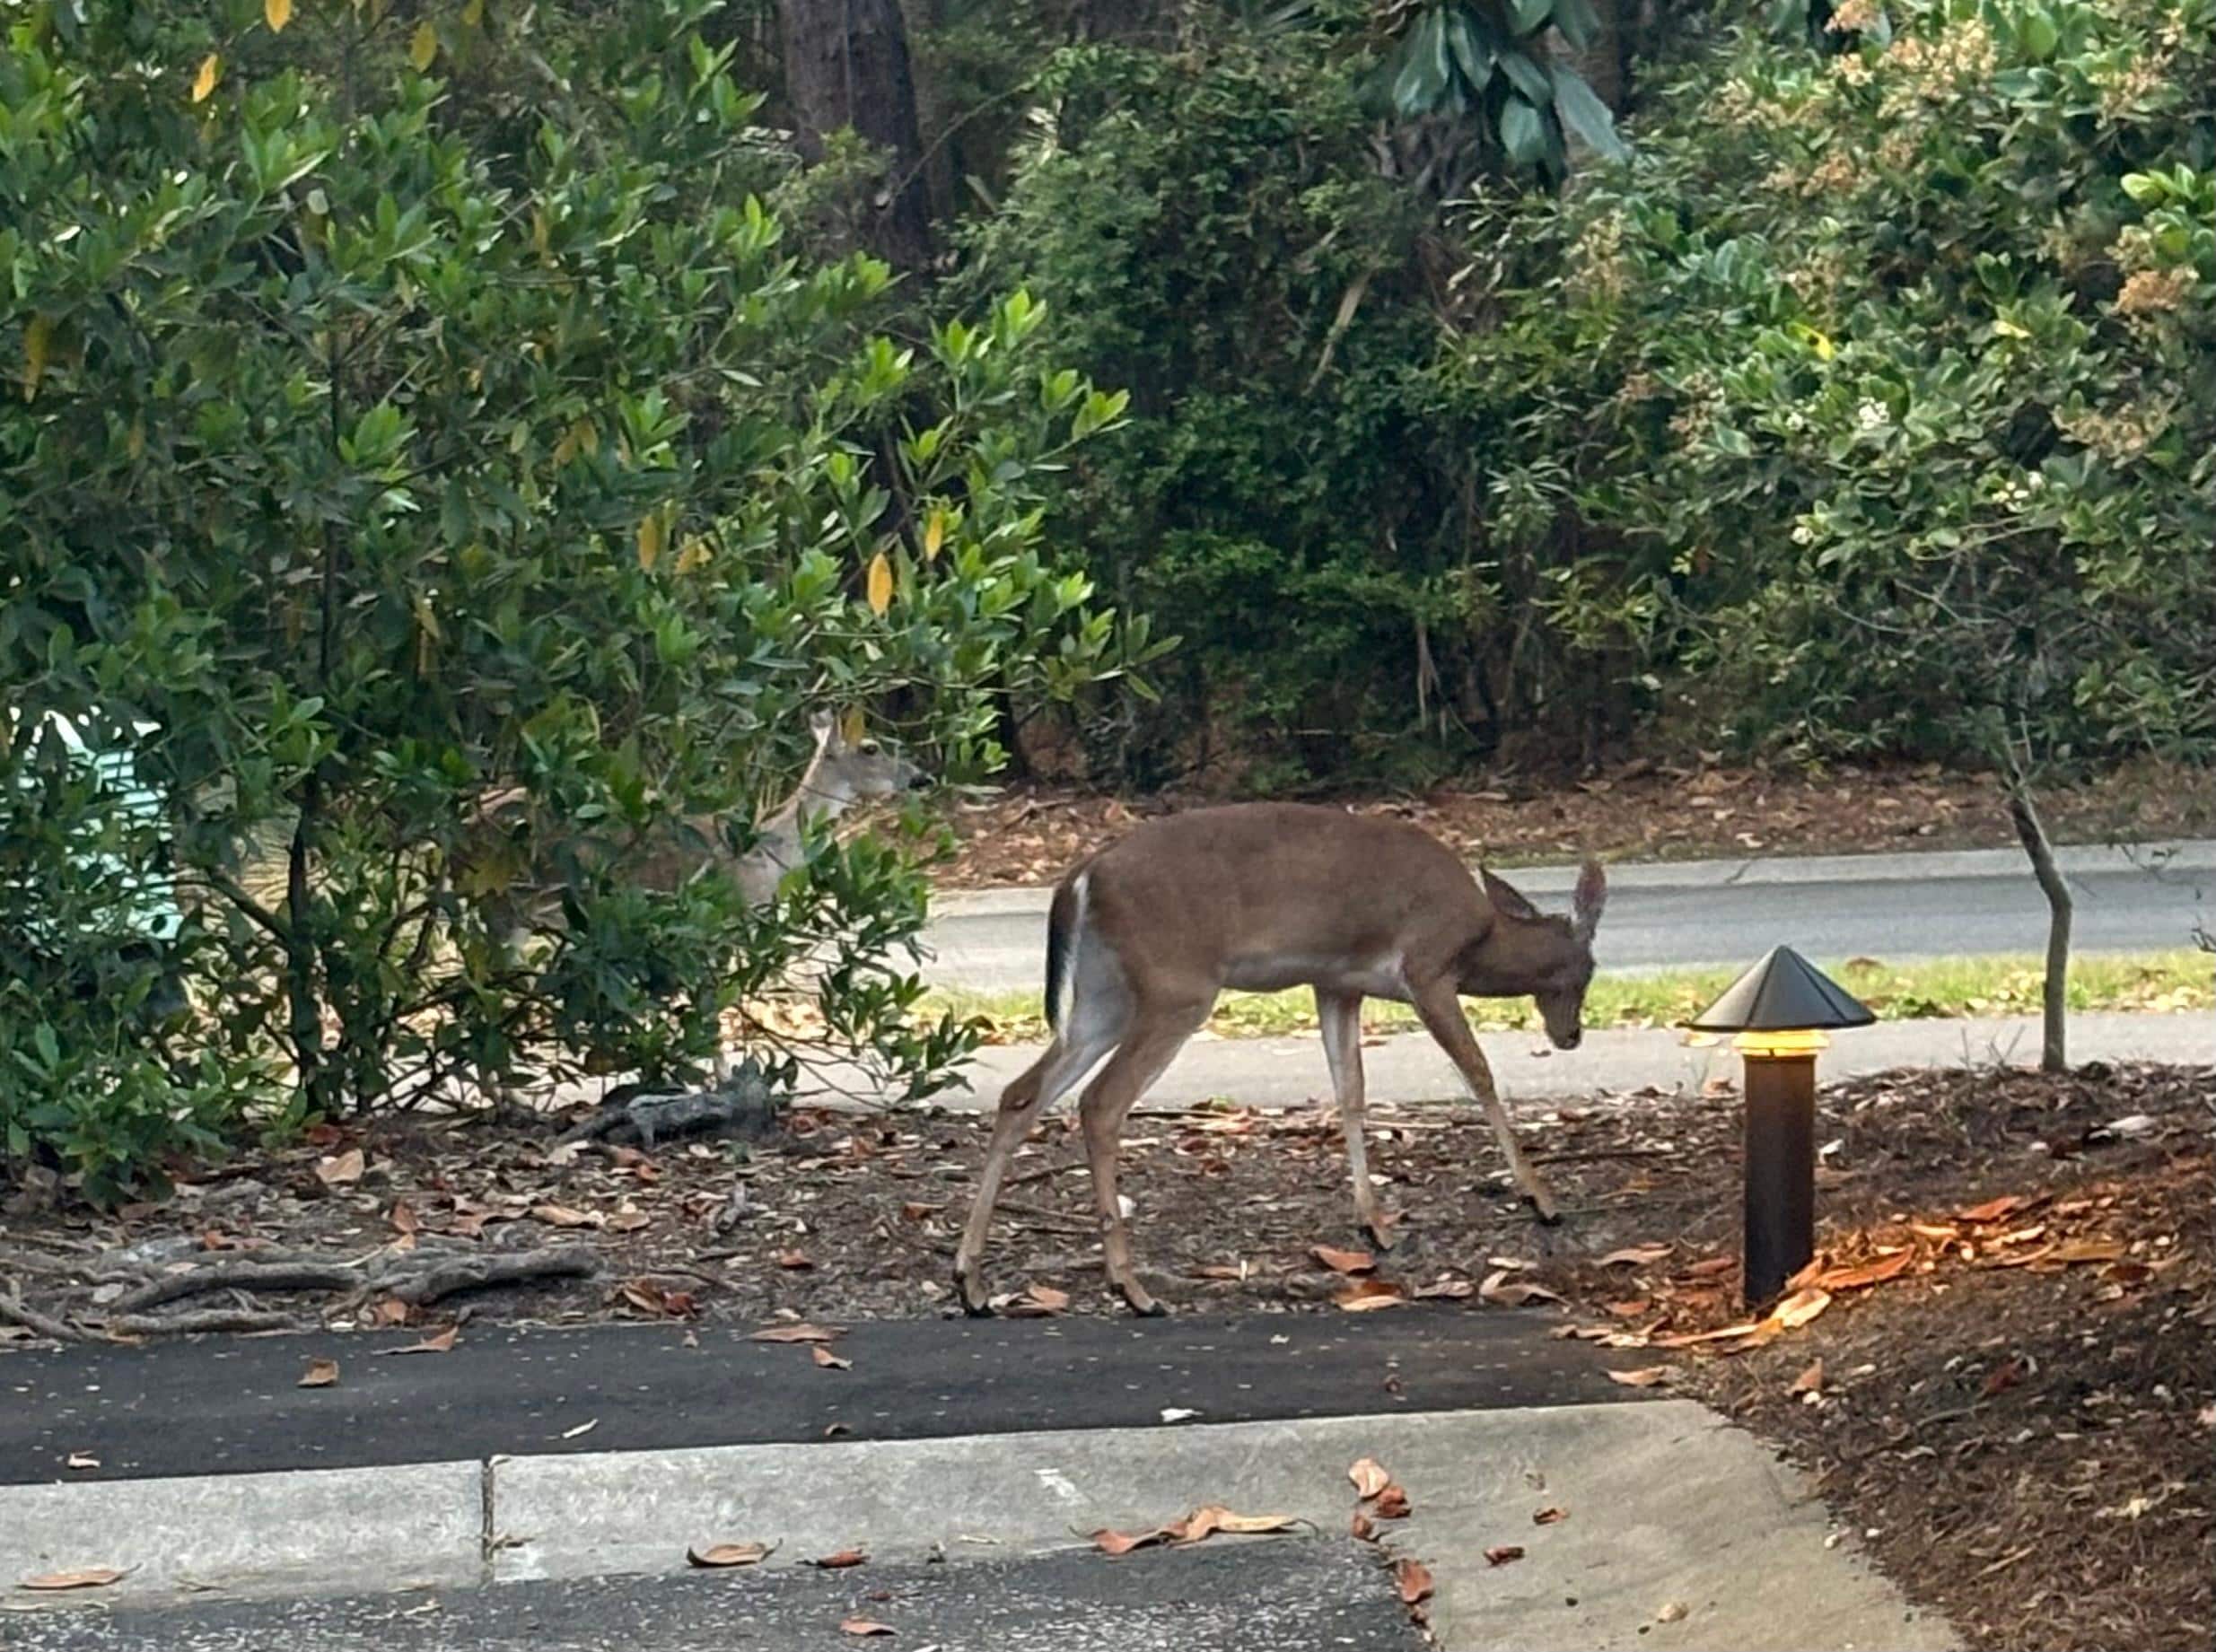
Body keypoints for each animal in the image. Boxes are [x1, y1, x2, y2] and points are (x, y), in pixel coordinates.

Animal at [953, 803, 1607, 1316]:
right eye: (1589, 969)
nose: (1571, 1034)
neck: (1480, 941)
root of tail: (1081, 878)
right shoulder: (1426, 968)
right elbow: (1479, 1073)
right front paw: (1541, 1198)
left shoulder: (1338, 983)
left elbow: (1350, 1090)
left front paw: (1374, 1223)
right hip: (1176, 985)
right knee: (1100, 1102)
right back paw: (1132, 1289)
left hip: (1104, 993)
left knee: (1022, 1093)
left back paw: (972, 1283)